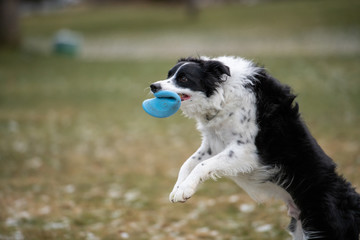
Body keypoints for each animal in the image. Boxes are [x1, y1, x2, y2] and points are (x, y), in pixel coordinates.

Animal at [149, 55, 360, 239]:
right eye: (169, 75)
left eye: (184, 78)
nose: (153, 86)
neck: (224, 94)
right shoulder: (212, 145)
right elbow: (187, 164)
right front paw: (178, 188)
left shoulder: (246, 151)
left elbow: (202, 165)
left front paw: (185, 189)